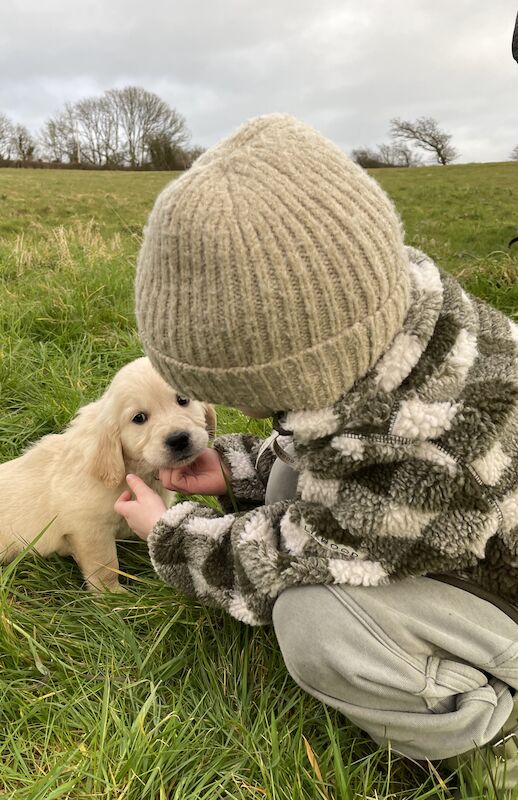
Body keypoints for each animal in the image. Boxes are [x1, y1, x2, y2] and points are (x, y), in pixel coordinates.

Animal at [0, 360, 216, 592]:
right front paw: (112, 594)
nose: (178, 439)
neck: (133, 469)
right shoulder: (89, 528)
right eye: (139, 418)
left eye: (183, 400)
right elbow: (105, 565)